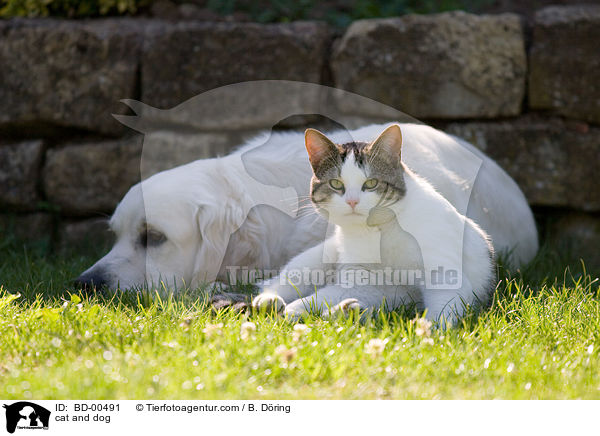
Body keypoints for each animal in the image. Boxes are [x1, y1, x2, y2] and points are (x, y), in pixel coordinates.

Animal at [251, 124, 494, 322]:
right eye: (336, 184)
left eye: (371, 183)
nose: (352, 201)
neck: (380, 230)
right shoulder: (363, 278)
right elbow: (322, 295)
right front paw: (294, 310)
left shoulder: (442, 271)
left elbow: (444, 304)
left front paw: (430, 329)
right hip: (317, 258)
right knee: (281, 280)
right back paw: (271, 300)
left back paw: (347, 312)